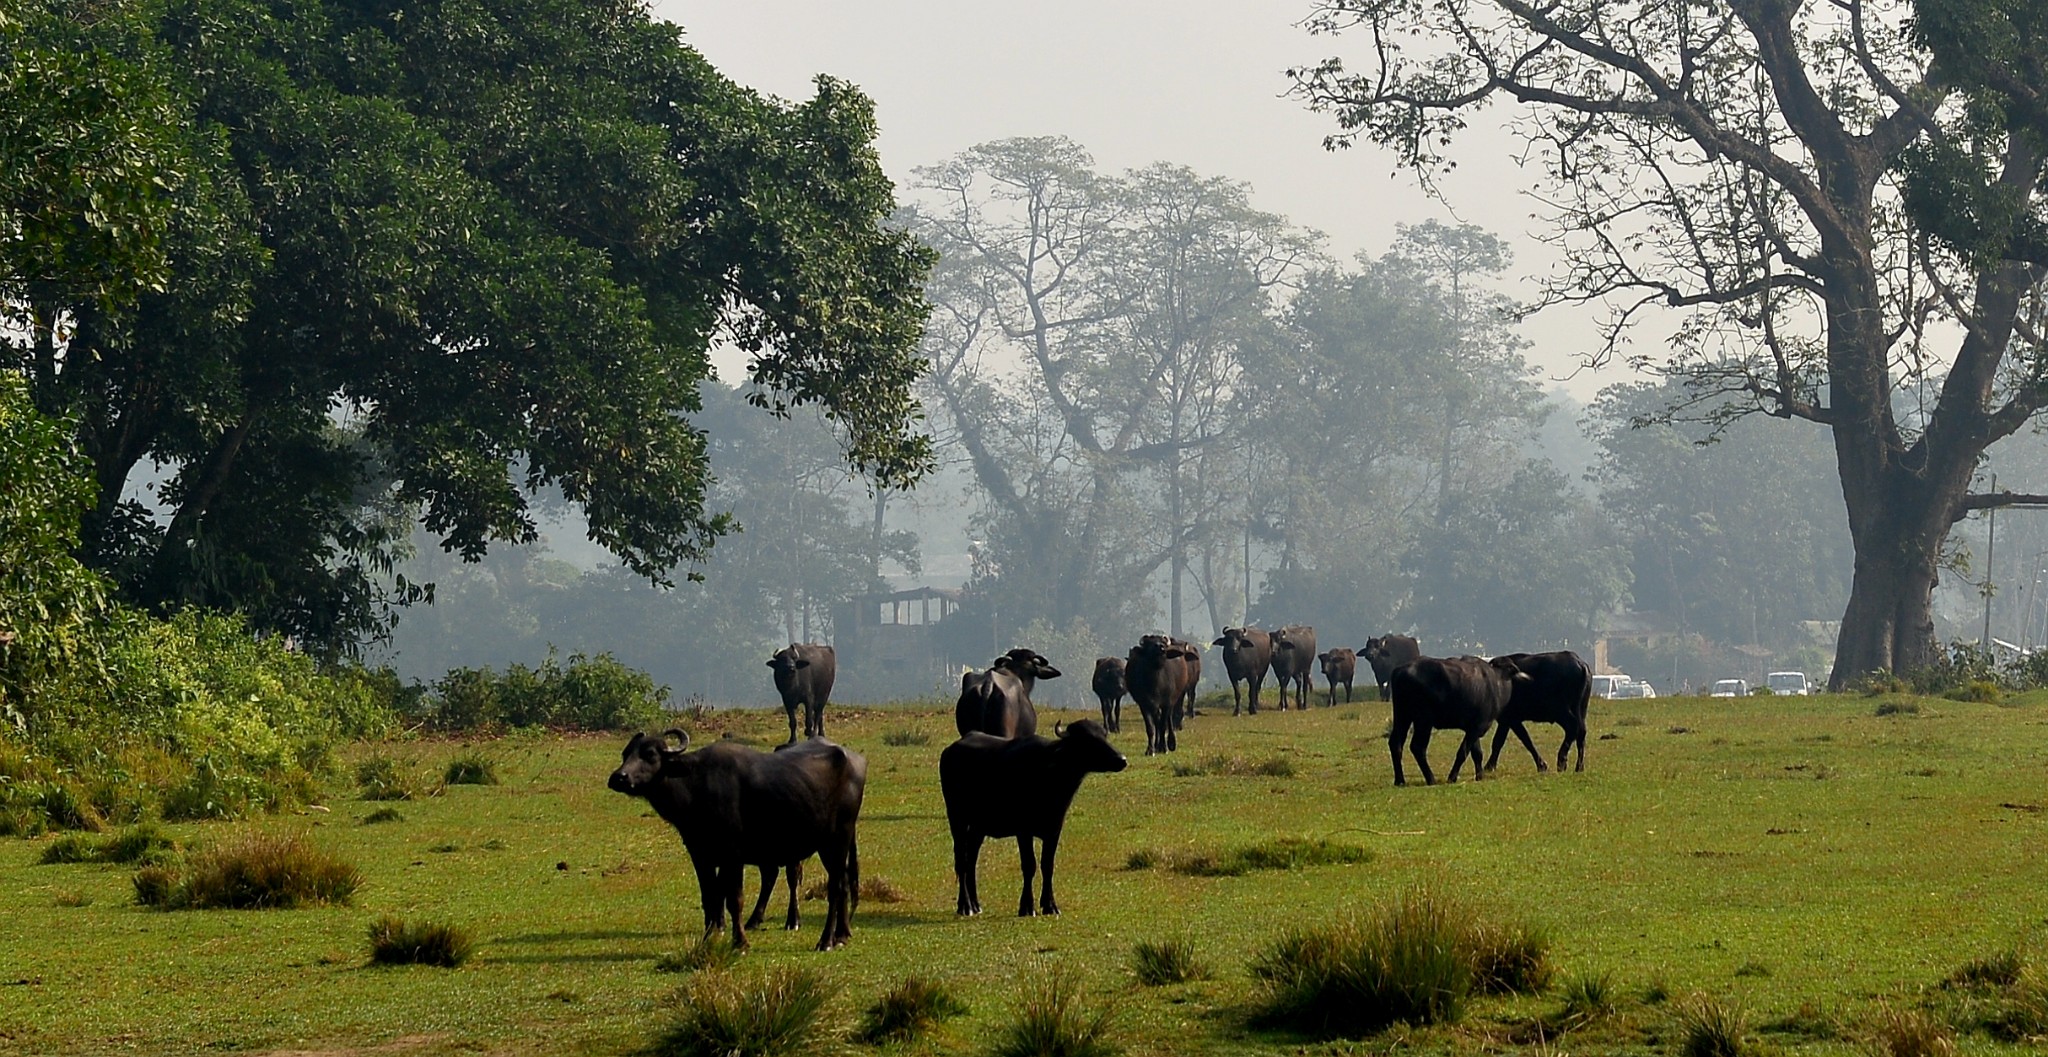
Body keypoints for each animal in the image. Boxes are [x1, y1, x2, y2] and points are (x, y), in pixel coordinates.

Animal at [606, 725, 864, 950]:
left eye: (650, 755)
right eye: (626, 753)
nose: (619, 777)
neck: (697, 785)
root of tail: (853, 760)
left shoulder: (733, 855)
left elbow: (734, 899)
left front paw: (740, 942)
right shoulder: (700, 855)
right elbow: (710, 897)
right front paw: (708, 939)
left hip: (836, 840)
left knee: (834, 887)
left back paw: (825, 940)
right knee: (840, 883)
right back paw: (841, 935)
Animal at [937, 716, 1130, 917]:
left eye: (1104, 735)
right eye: (1087, 739)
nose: (1121, 760)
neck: (1050, 777)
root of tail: (950, 750)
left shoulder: (1054, 829)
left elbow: (1047, 865)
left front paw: (1050, 905)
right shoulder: (1023, 831)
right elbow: (1029, 865)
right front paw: (1027, 906)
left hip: (978, 827)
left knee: (972, 860)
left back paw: (976, 904)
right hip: (956, 818)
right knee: (962, 860)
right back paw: (965, 905)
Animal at [1384, 655, 1531, 786]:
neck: (1497, 681)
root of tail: (1400, 671)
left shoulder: (1472, 728)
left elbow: (1477, 753)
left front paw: (1480, 776)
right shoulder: (1477, 727)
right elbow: (1463, 752)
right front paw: (1452, 777)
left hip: (1402, 717)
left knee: (1395, 744)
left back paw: (1400, 780)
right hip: (1423, 721)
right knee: (1417, 747)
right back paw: (1431, 779)